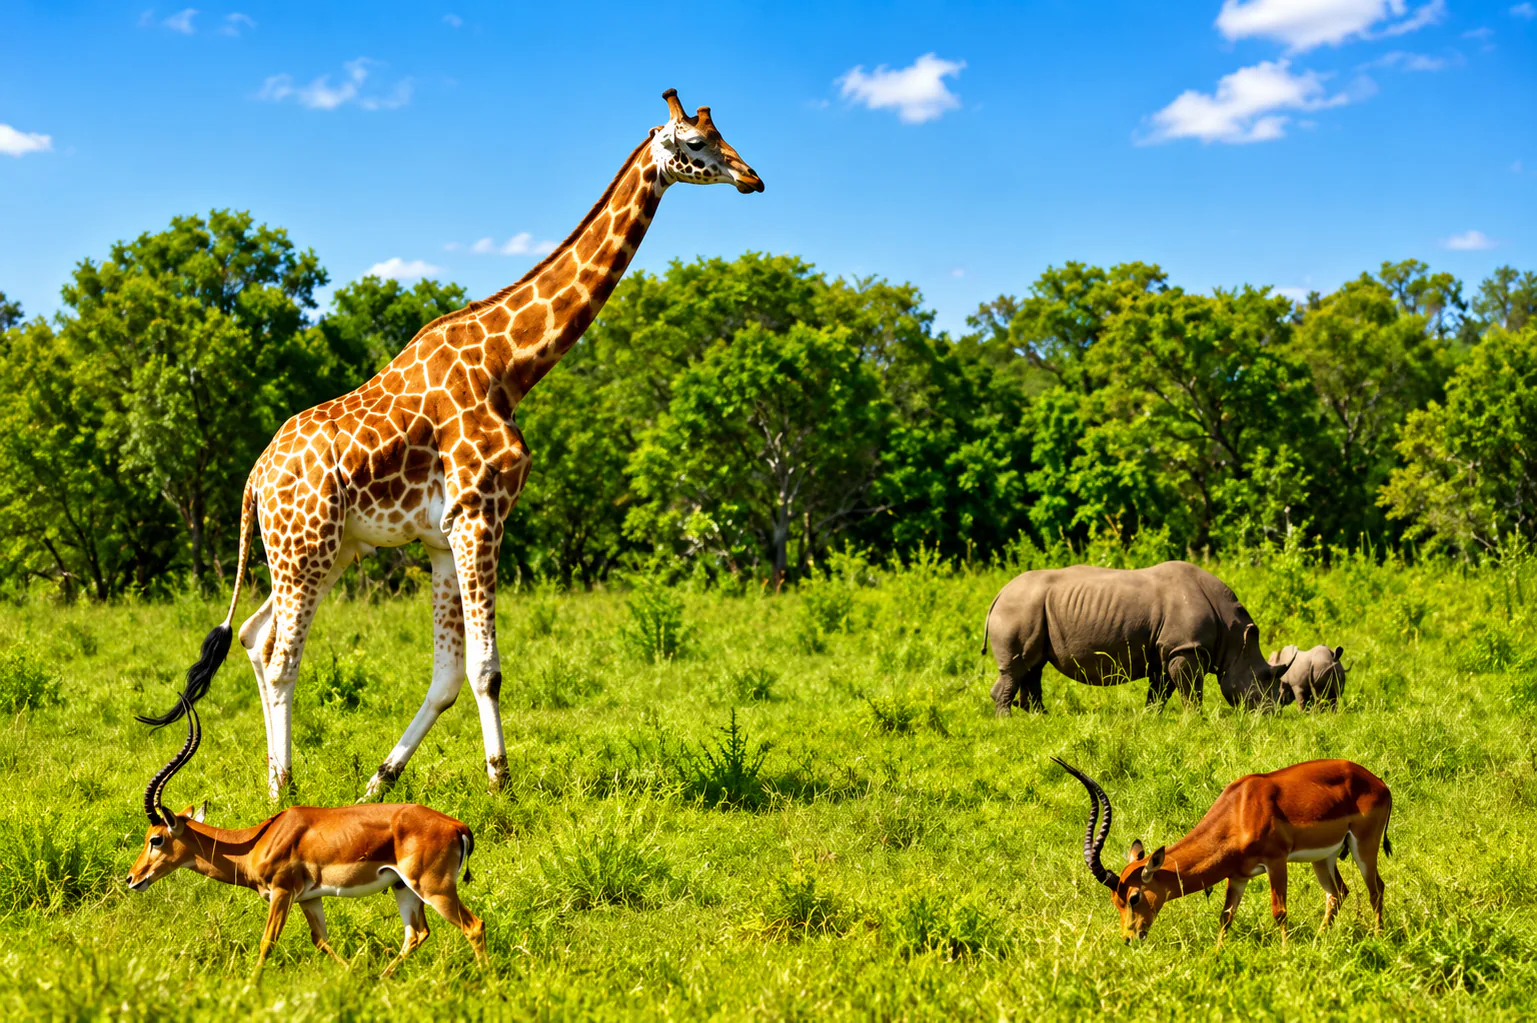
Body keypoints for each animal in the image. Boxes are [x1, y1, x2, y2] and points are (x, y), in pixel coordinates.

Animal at [126, 702, 489, 978]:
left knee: (474, 925)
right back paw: (382, 978)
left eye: (156, 839)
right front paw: (351, 974)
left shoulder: (282, 893)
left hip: (434, 888)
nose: (132, 878)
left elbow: (267, 942)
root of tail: (457, 825)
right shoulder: (309, 899)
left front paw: (251, 985)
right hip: (404, 888)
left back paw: (487, 982)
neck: (257, 841)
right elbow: (321, 940)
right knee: (416, 934)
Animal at [138, 90, 763, 799]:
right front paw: (502, 787)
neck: (509, 365)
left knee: (252, 634)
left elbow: (445, 677)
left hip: (327, 548)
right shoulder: (478, 516)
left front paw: (380, 781)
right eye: (698, 142)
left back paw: (283, 784)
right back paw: (283, 789)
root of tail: (253, 480)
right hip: (306, 547)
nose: (753, 178)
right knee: (281, 659)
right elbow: (486, 669)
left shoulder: (443, 538)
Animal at [1052, 757, 1392, 942]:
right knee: (1338, 893)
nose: (1129, 938)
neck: (1239, 811)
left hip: (1364, 848)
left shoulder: (1276, 862)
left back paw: (1377, 938)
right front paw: (1217, 953)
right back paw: (1321, 940)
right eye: (1115, 900)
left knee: (1376, 888)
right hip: (1324, 857)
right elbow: (1226, 916)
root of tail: (1378, 782)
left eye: (1134, 897)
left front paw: (1285, 952)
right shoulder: (1238, 874)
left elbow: (1279, 911)